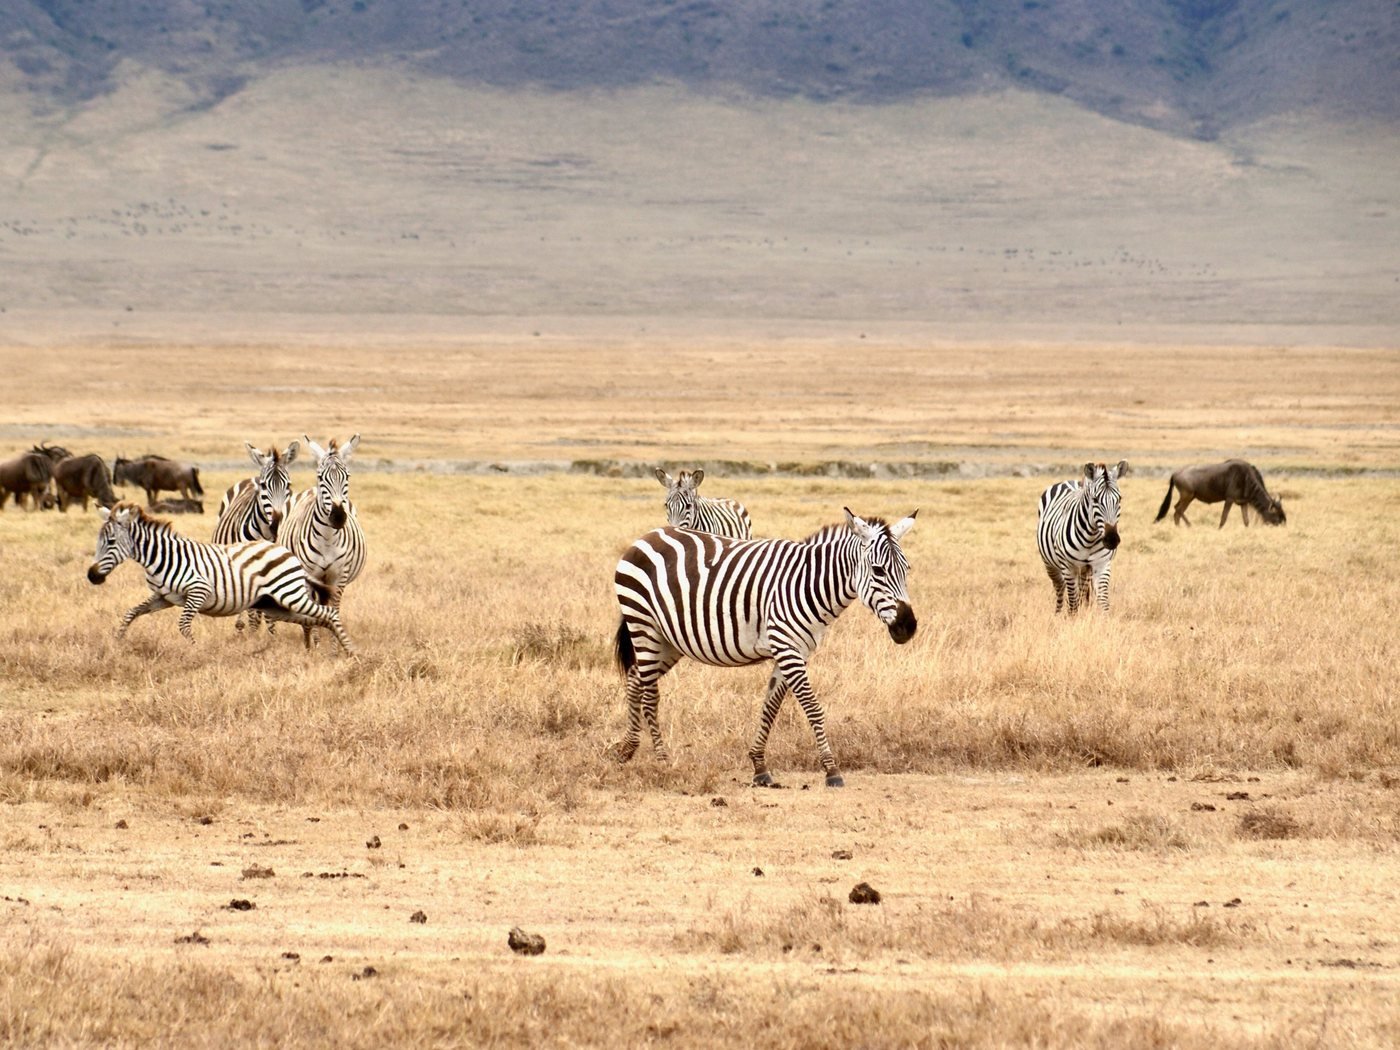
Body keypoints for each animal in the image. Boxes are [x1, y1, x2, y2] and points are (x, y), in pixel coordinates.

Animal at [87, 502, 355, 653]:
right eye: (98, 541)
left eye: (111, 542)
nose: (91, 576)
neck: (161, 558)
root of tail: (286, 551)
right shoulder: (163, 598)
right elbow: (131, 613)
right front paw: (117, 642)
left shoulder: (198, 590)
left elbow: (184, 626)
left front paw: (196, 652)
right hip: (273, 603)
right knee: (314, 619)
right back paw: (316, 649)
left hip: (288, 594)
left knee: (328, 613)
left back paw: (350, 652)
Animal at [281, 435, 367, 649]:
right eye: (321, 477)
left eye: (347, 476)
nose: (338, 517)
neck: (328, 538)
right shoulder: (310, 575)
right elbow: (313, 610)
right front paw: (314, 645)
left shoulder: (339, 577)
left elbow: (334, 610)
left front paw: (335, 648)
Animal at [613, 508, 917, 788]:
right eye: (878, 570)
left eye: (907, 570)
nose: (908, 626)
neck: (808, 585)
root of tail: (648, 536)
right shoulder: (786, 647)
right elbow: (812, 708)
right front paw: (832, 770)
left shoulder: (796, 651)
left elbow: (770, 707)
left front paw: (759, 766)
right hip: (644, 625)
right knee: (650, 694)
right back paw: (662, 760)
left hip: (669, 640)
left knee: (635, 679)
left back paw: (627, 749)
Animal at [1036, 460, 1129, 614]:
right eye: (1095, 499)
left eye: (1119, 499)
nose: (1112, 540)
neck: (1090, 539)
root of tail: (1070, 482)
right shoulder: (1068, 566)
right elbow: (1073, 603)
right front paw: (1073, 619)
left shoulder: (1102, 564)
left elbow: (1103, 601)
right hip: (1050, 564)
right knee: (1060, 588)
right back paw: (1057, 614)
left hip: (1085, 570)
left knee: (1082, 590)